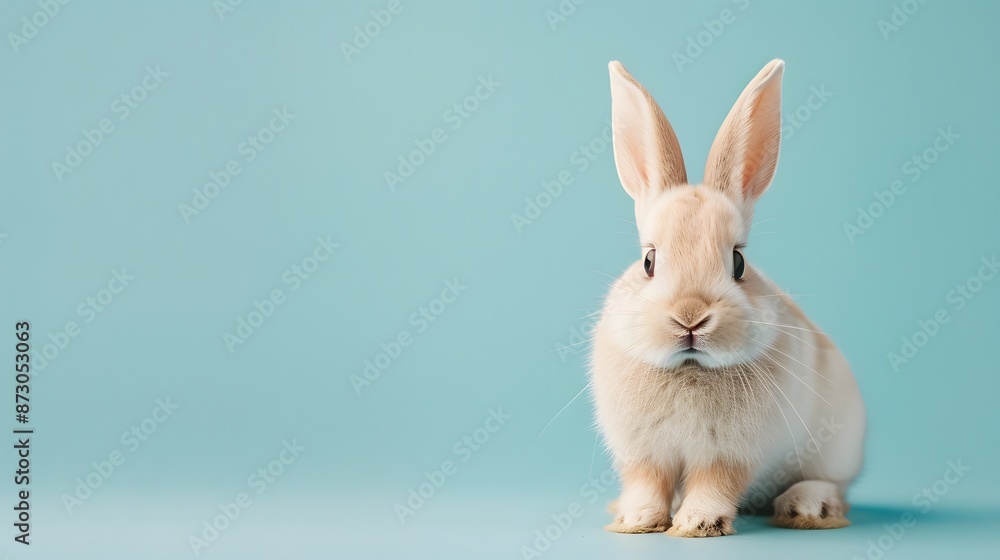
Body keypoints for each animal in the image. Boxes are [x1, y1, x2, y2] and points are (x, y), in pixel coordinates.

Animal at [590, 59, 866, 537]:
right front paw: (636, 520)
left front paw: (697, 524)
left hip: (837, 446)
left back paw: (807, 507)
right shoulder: (643, 454)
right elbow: (648, 484)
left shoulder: (730, 454)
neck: (690, 370)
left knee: (833, 485)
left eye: (738, 262)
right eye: (649, 261)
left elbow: (713, 484)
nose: (690, 317)